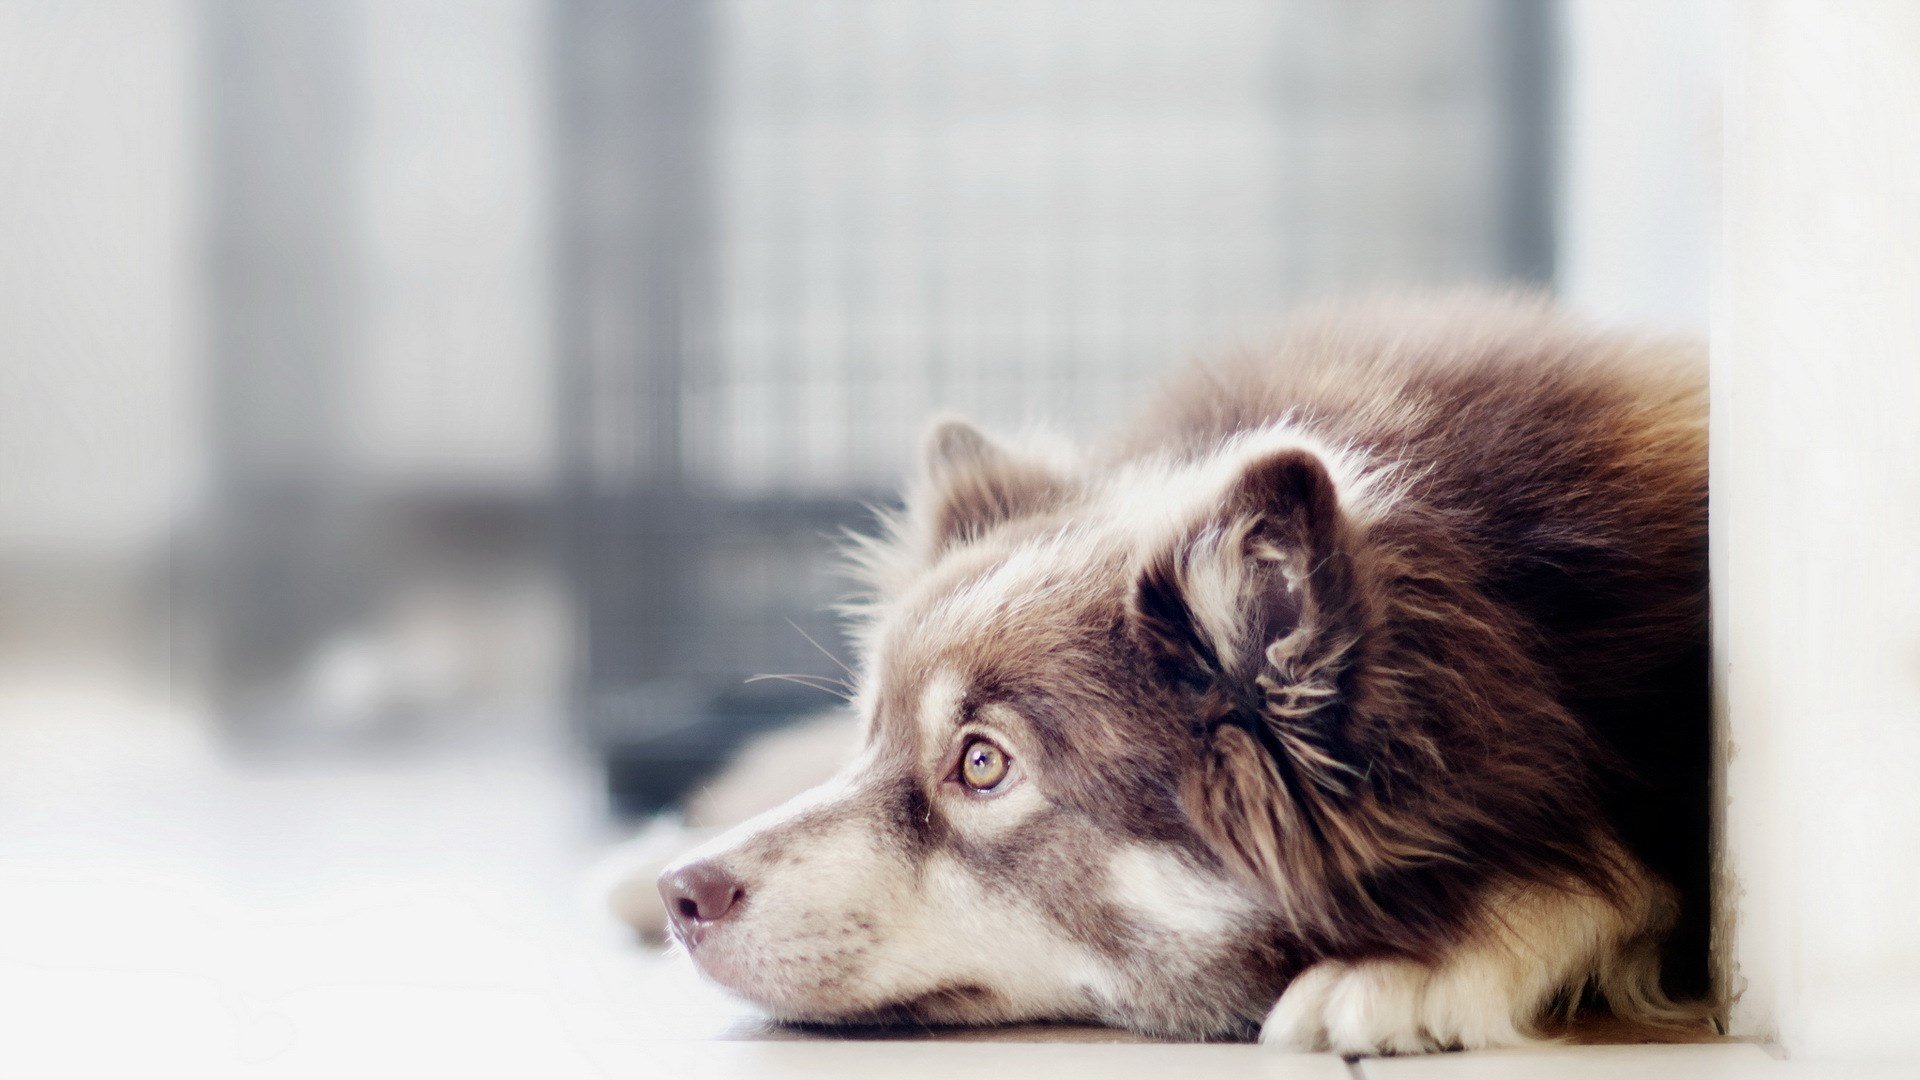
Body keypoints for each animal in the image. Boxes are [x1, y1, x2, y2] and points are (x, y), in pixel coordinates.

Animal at [602, 294, 1712, 1053]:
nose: (684, 894)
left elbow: (1616, 876)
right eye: (872, 731)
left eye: (983, 764)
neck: (1508, 619)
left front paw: (1417, 962)